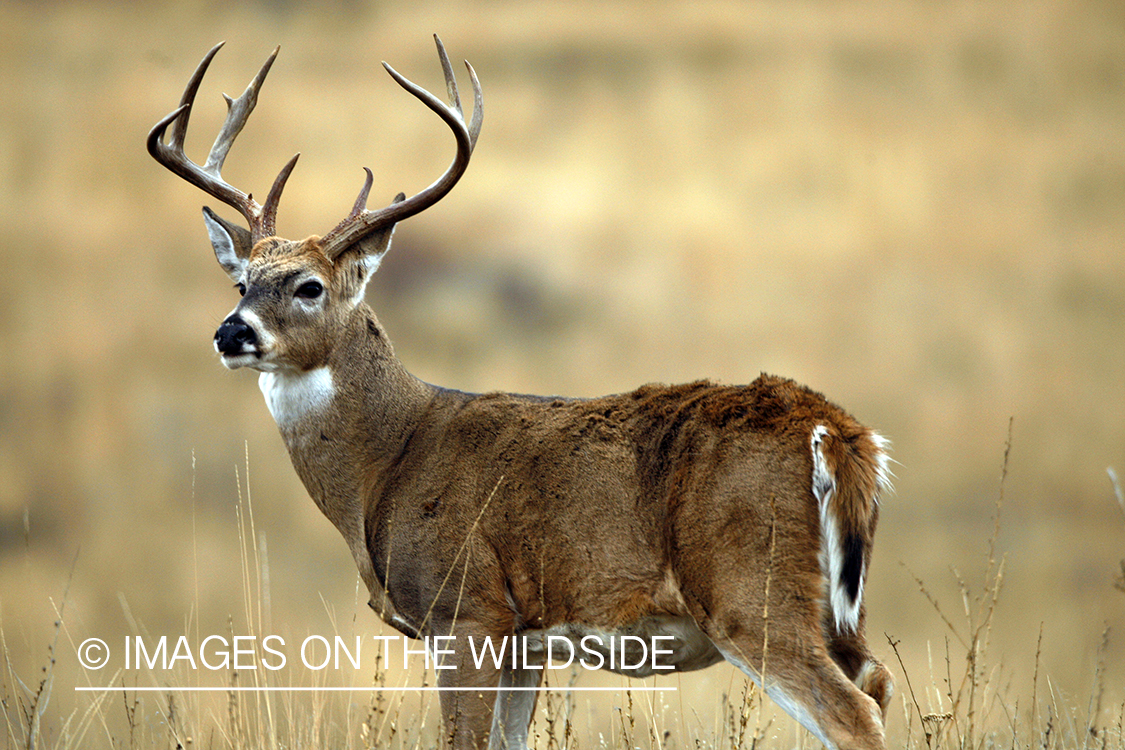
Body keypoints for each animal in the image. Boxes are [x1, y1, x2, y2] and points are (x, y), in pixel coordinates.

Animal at [147, 38, 895, 750]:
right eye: (242, 282)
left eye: (309, 287)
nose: (230, 332)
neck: (387, 462)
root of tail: (835, 432)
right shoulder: (522, 640)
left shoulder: (465, 609)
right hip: (835, 609)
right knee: (880, 682)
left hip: (747, 589)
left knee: (853, 713)